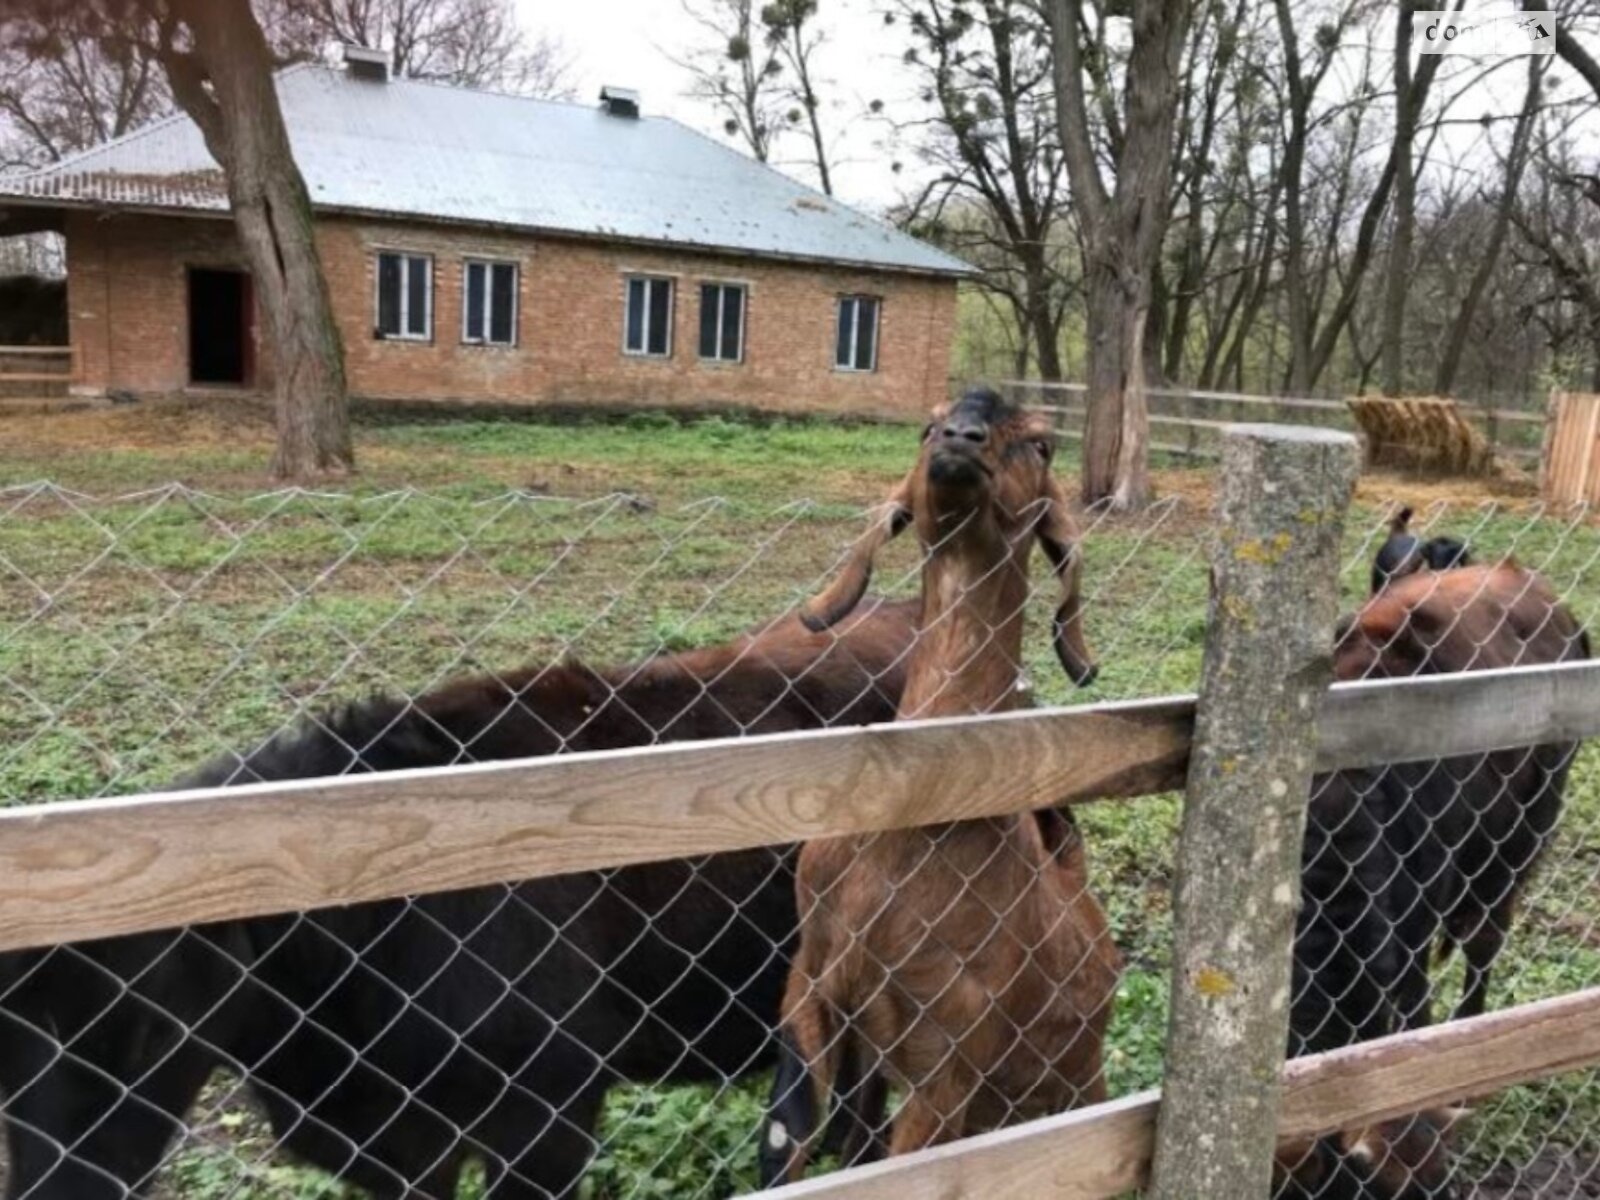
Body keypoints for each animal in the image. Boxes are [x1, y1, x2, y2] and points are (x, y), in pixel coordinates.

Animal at [761, 387, 1126, 1184]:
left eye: (1043, 442)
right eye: (928, 425)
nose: (962, 438)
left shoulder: (948, 1061)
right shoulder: (812, 982)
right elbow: (788, 1135)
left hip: (1070, 1080)